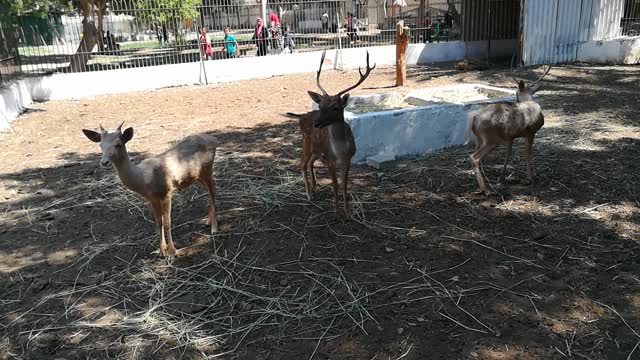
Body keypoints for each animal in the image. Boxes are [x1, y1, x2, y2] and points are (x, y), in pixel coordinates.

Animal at [82, 122, 219, 258]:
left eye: (118, 144)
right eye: (100, 145)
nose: (104, 162)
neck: (144, 179)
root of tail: (213, 140)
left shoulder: (167, 191)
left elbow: (167, 222)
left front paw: (172, 252)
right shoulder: (151, 198)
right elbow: (159, 222)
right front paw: (161, 251)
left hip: (207, 168)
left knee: (213, 188)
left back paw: (214, 228)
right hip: (197, 175)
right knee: (209, 189)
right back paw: (207, 221)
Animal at [284, 50, 376, 219]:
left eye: (335, 107)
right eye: (320, 106)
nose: (316, 124)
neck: (340, 150)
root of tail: (301, 116)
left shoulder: (348, 158)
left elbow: (344, 184)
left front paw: (348, 212)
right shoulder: (330, 159)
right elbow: (335, 184)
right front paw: (336, 212)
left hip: (317, 149)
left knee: (310, 163)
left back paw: (315, 187)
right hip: (306, 142)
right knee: (302, 163)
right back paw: (308, 194)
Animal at [464, 55, 552, 194]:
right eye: (516, 93)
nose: (516, 98)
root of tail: (474, 116)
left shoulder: (511, 136)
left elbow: (508, 153)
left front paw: (503, 176)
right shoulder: (531, 132)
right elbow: (527, 154)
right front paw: (530, 178)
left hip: (479, 137)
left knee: (474, 155)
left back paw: (478, 182)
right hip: (491, 139)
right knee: (474, 157)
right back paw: (486, 190)